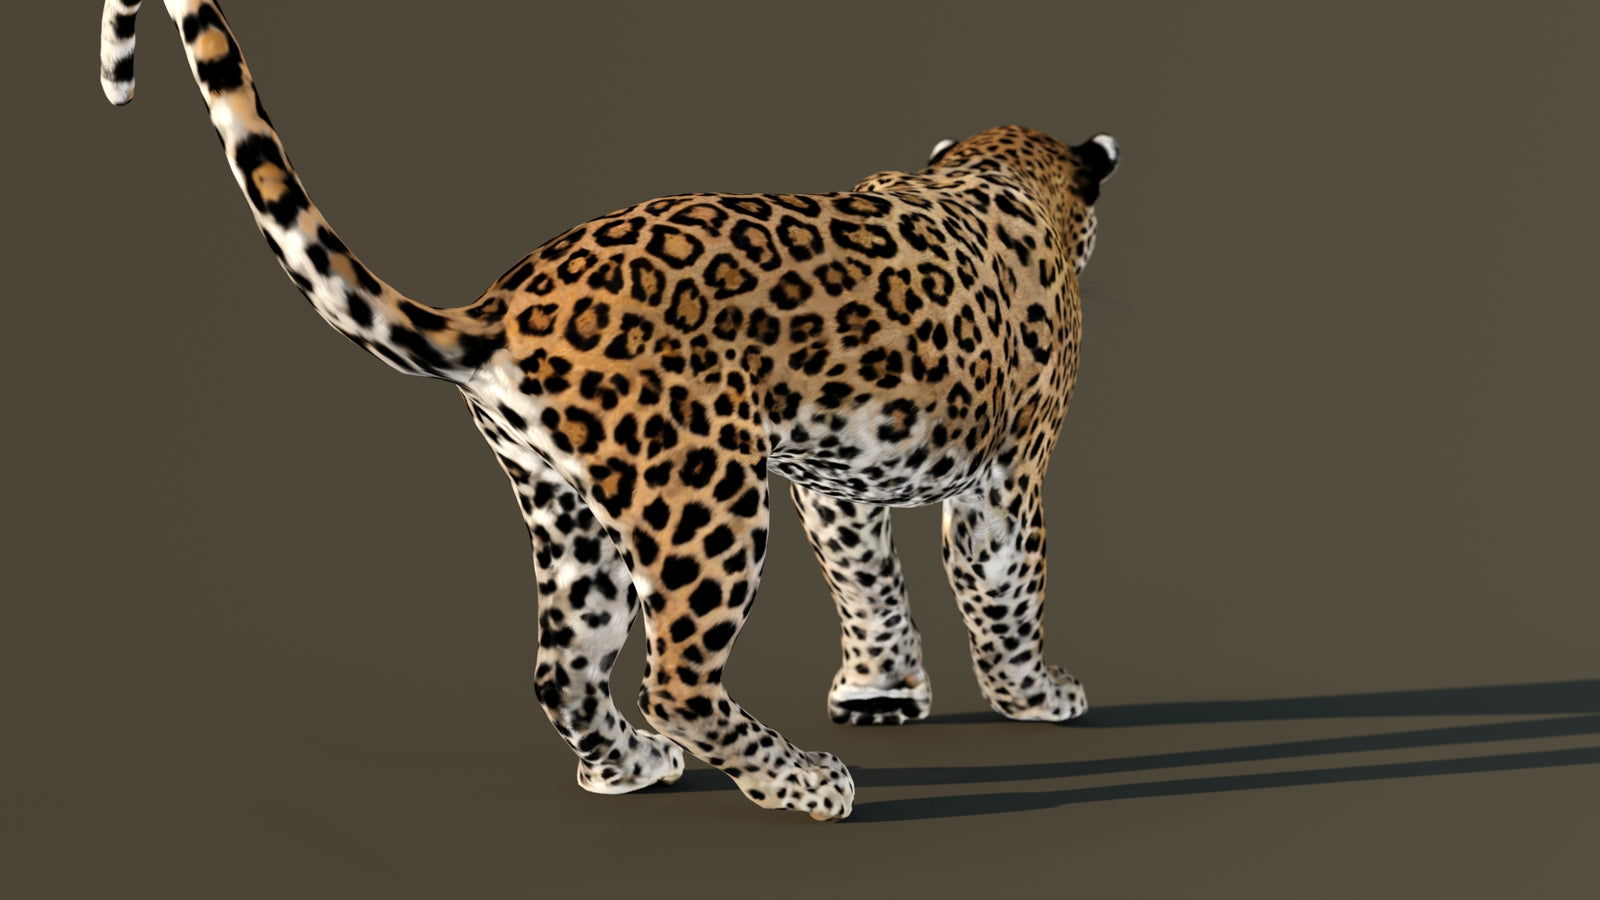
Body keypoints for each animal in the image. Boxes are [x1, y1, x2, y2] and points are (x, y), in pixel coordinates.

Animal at [101, 0, 1119, 821]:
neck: (1000, 175)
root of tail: (501, 306)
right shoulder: (1008, 475)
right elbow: (1002, 585)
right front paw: (1036, 694)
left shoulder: (840, 483)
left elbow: (866, 581)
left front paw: (880, 692)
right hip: (705, 497)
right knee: (677, 679)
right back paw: (806, 784)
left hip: (568, 509)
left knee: (563, 671)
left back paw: (628, 769)